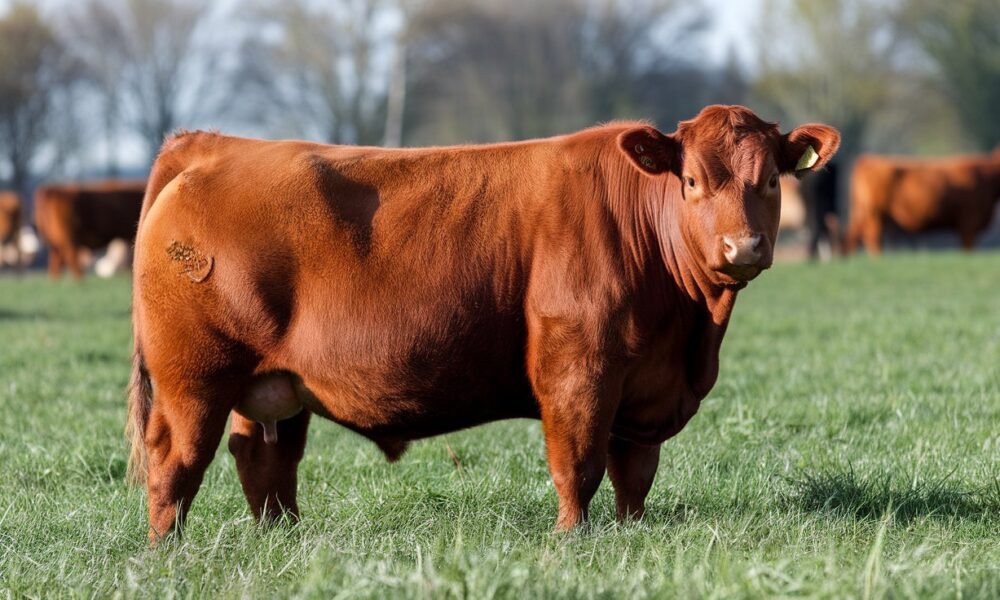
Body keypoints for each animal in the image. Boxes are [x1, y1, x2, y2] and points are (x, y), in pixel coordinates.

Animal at [126, 105, 840, 541]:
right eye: (690, 180)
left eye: (771, 180)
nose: (743, 247)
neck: (688, 333)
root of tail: (214, 145)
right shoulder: (578, 372)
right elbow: (578, 463)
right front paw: (571, 539)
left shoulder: (642, 390)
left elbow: (633, 474)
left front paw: (630, 533)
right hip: (194, 380)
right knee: (175, 461)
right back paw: (169, 553)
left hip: (270, 384)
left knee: (265, 461)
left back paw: (285, 540)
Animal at [845, 152, 1000, 254]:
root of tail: (866, 159)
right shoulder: (969, 224)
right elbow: (967, 250)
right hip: (874, 214)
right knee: (873, 239)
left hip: (866, 214)